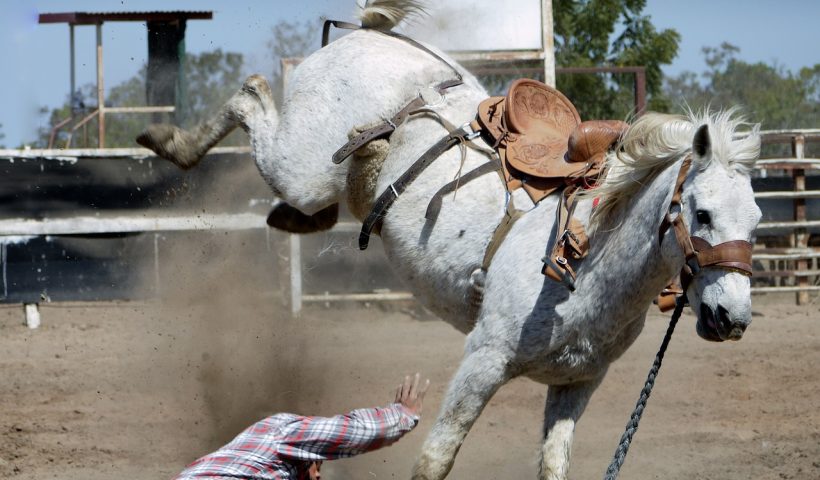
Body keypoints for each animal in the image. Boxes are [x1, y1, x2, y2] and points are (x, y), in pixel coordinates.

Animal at [136, 1, 764, 478]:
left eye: (757, 221)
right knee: (250, 94)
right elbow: (436, 458)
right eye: (702, 213)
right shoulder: (482, 361)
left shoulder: (578, 381)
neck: (587, 261)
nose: (732, 318)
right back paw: (168, 141)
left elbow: (553, 464)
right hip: (300, 165)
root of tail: (371, 34)